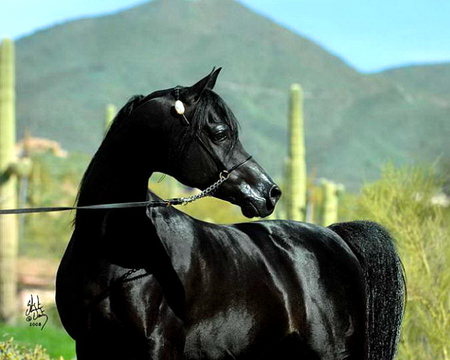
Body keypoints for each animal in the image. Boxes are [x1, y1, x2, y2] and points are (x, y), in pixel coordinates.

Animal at [56, 69, 404, 358]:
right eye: (221, 132)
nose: (270, 192)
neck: (115, 252)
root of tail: (334, 234)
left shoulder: (157, 348)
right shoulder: (89, 347)